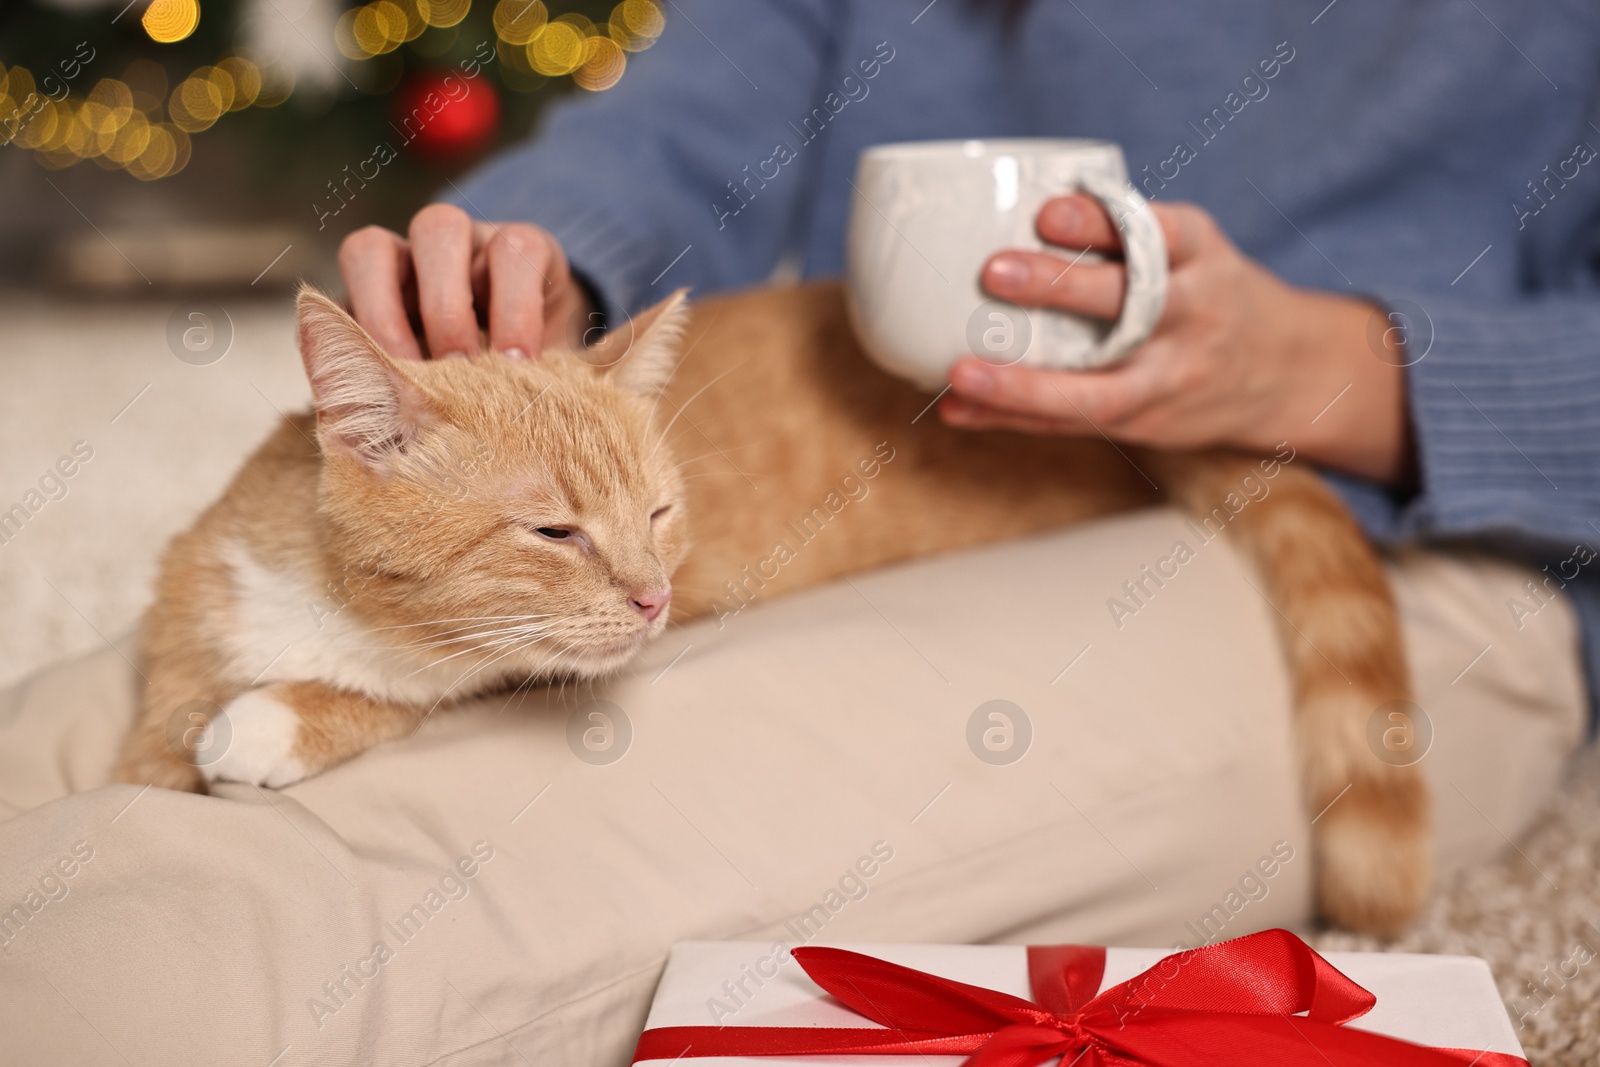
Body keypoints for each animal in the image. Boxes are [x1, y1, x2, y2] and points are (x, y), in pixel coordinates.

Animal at [118, 279, 1433, 927]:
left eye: (658, 513)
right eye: (555, 531)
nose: (654, 599)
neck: (334, 606)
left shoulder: (480, 670)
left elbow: (400, 690)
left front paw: (272, 720)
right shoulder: (192, 587)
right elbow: (150, 732)